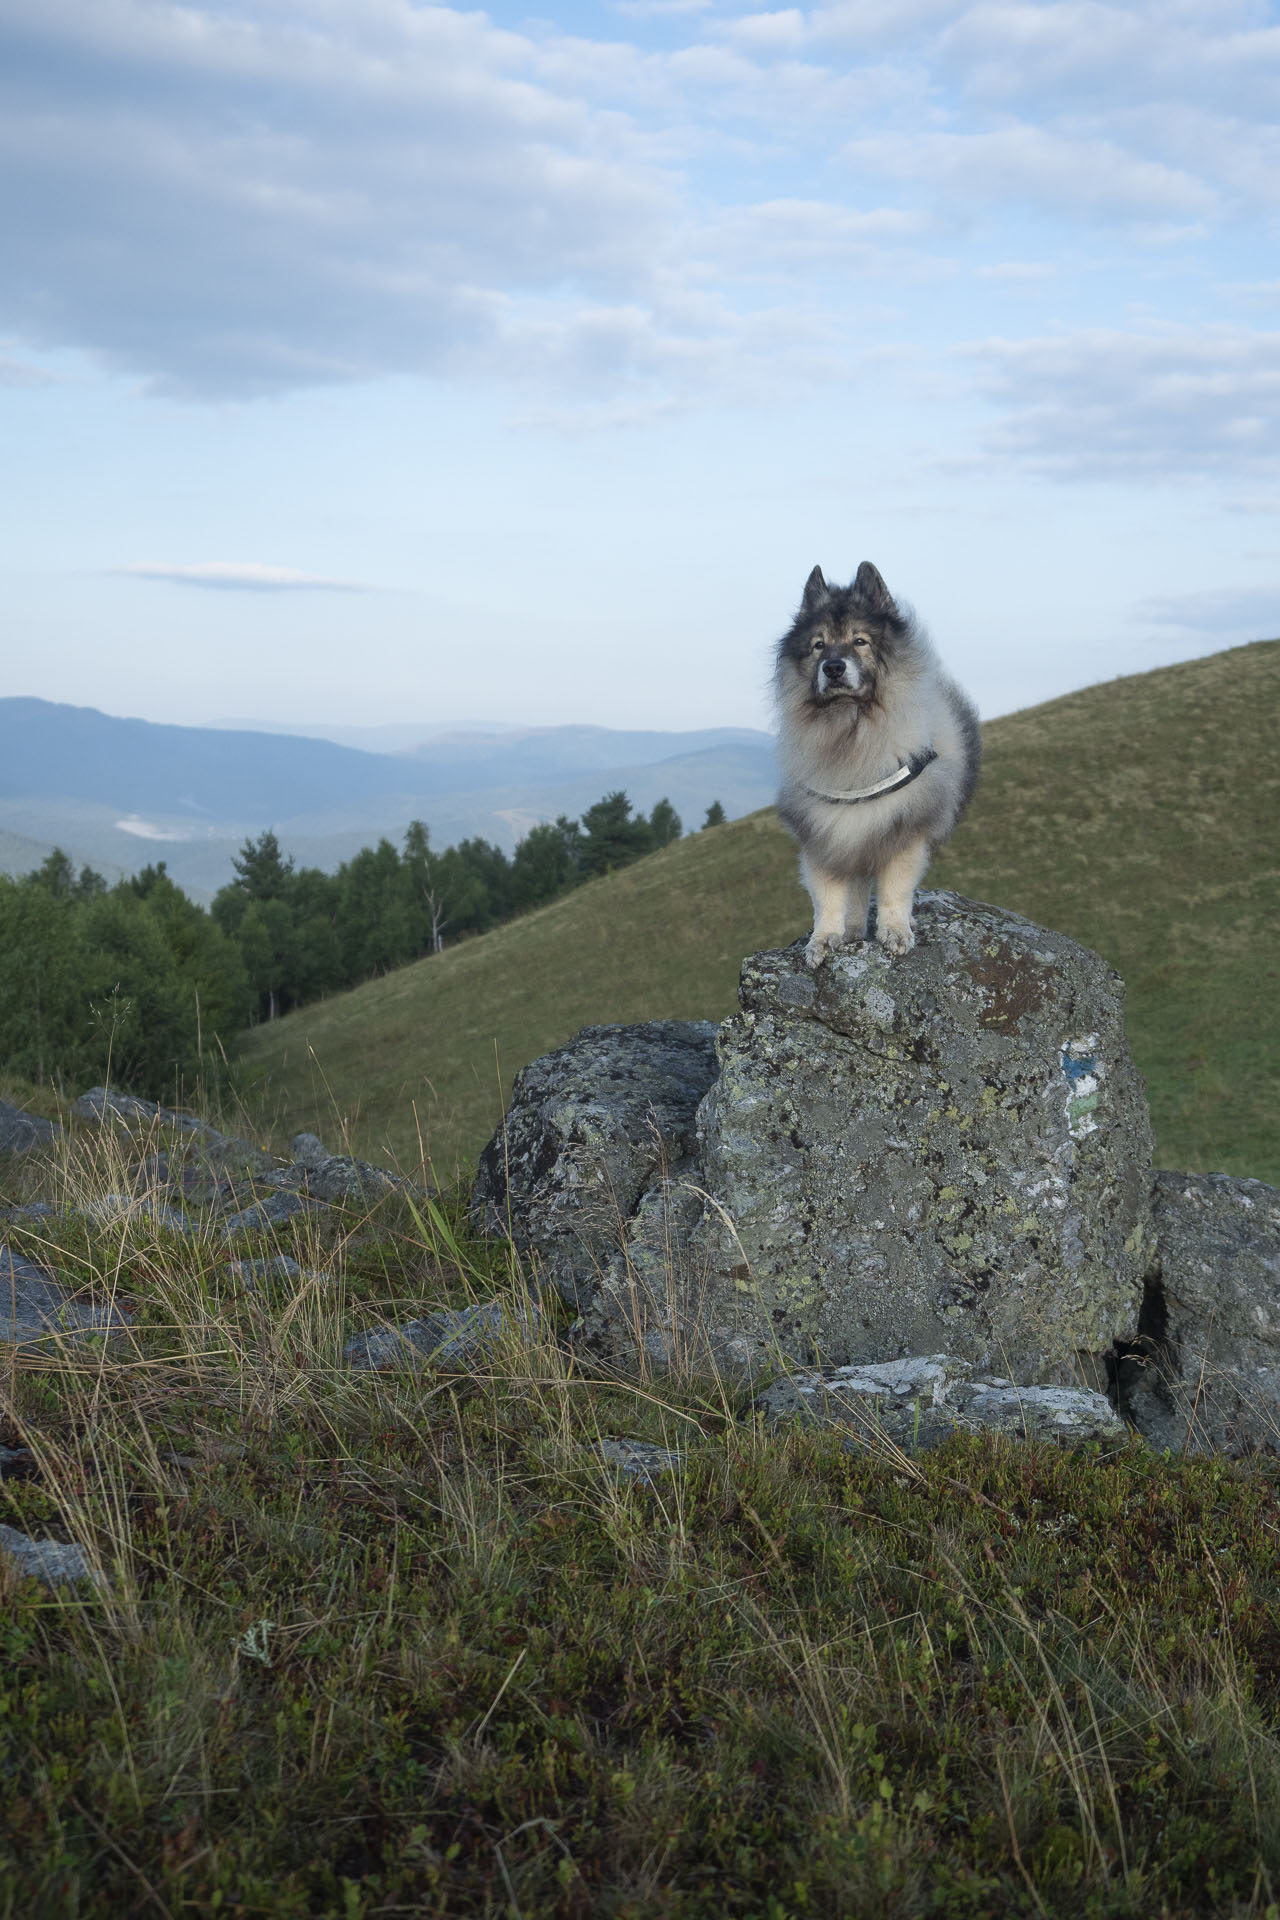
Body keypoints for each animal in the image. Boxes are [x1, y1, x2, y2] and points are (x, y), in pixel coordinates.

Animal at [771, 560, 982, 967]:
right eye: (819, 645)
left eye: (860, 641)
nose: (833, 667)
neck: (850, 731)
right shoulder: (827, 836)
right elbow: (828, 898)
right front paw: (825, 939)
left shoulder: (903, 831)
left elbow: (895, 891)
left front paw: (895, 932)